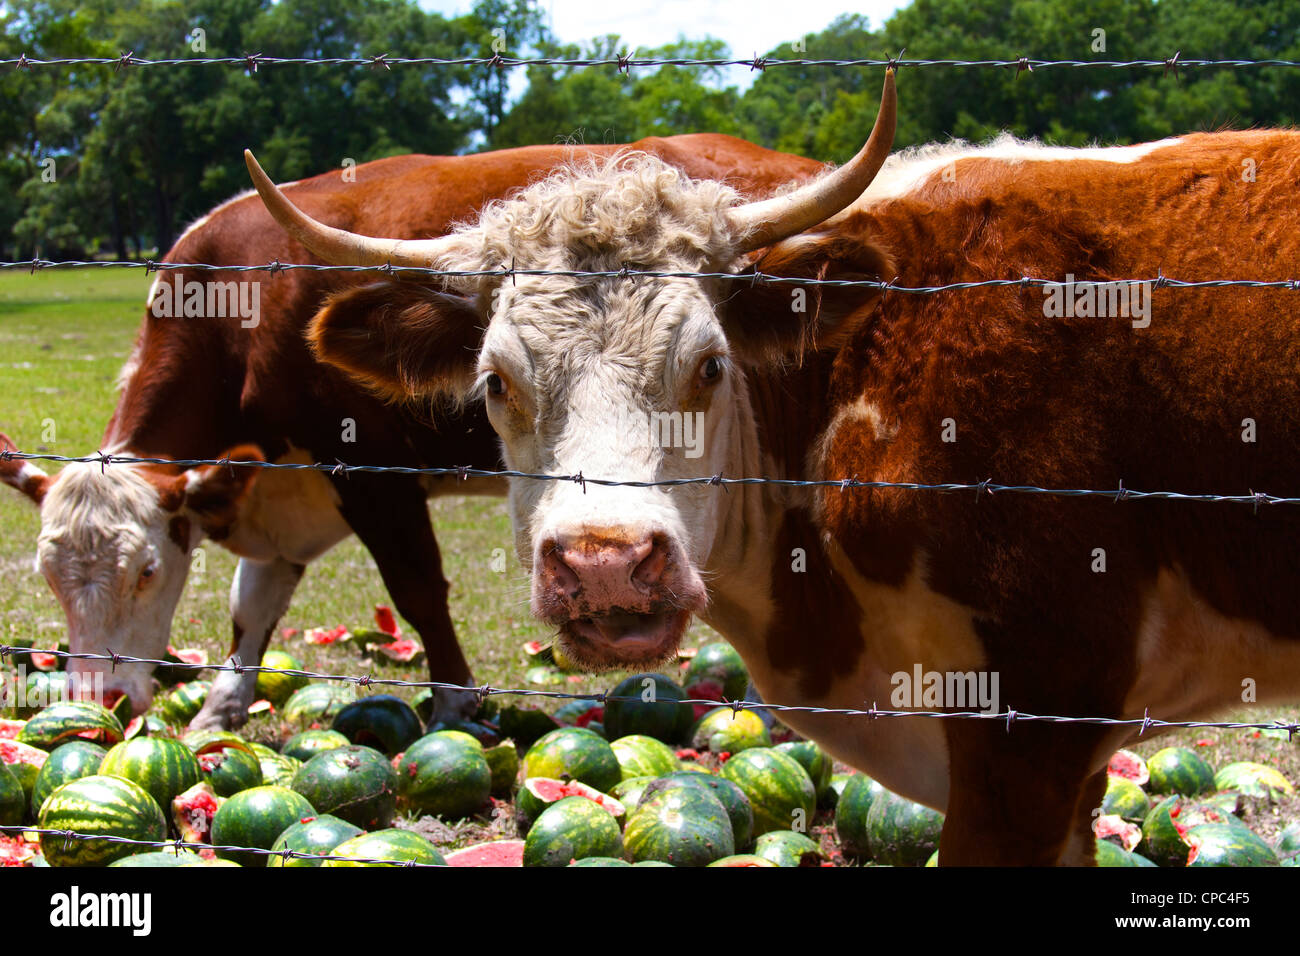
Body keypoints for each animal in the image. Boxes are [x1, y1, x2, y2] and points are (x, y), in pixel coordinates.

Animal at [0, 136, 825, 731]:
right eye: (49, 576)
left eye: (146, 571)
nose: (99, 698)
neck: (241, 304)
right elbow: (252, 606)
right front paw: (221, 706)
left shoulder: (370, 470)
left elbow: (419, 588)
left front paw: (457, 701)